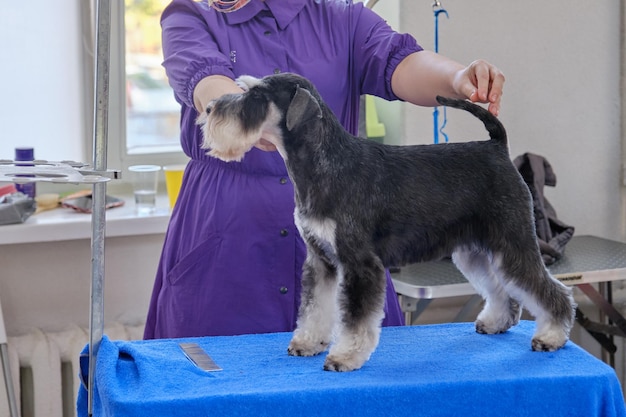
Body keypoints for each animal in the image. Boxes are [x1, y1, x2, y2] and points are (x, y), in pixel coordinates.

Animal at [200, 70, 576, 370]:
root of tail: (497, 147)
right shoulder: (320, 261)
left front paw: (344, 357)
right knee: (501, 289)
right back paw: (497, 321)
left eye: (257, 96)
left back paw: (552, 336)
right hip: (474, 251)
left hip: (513, 243)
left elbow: (355, 319)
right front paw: (307, 342)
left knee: (549, 290)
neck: (325, 163)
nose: (207, 109)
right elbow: (314, 307)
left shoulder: (360, 264)